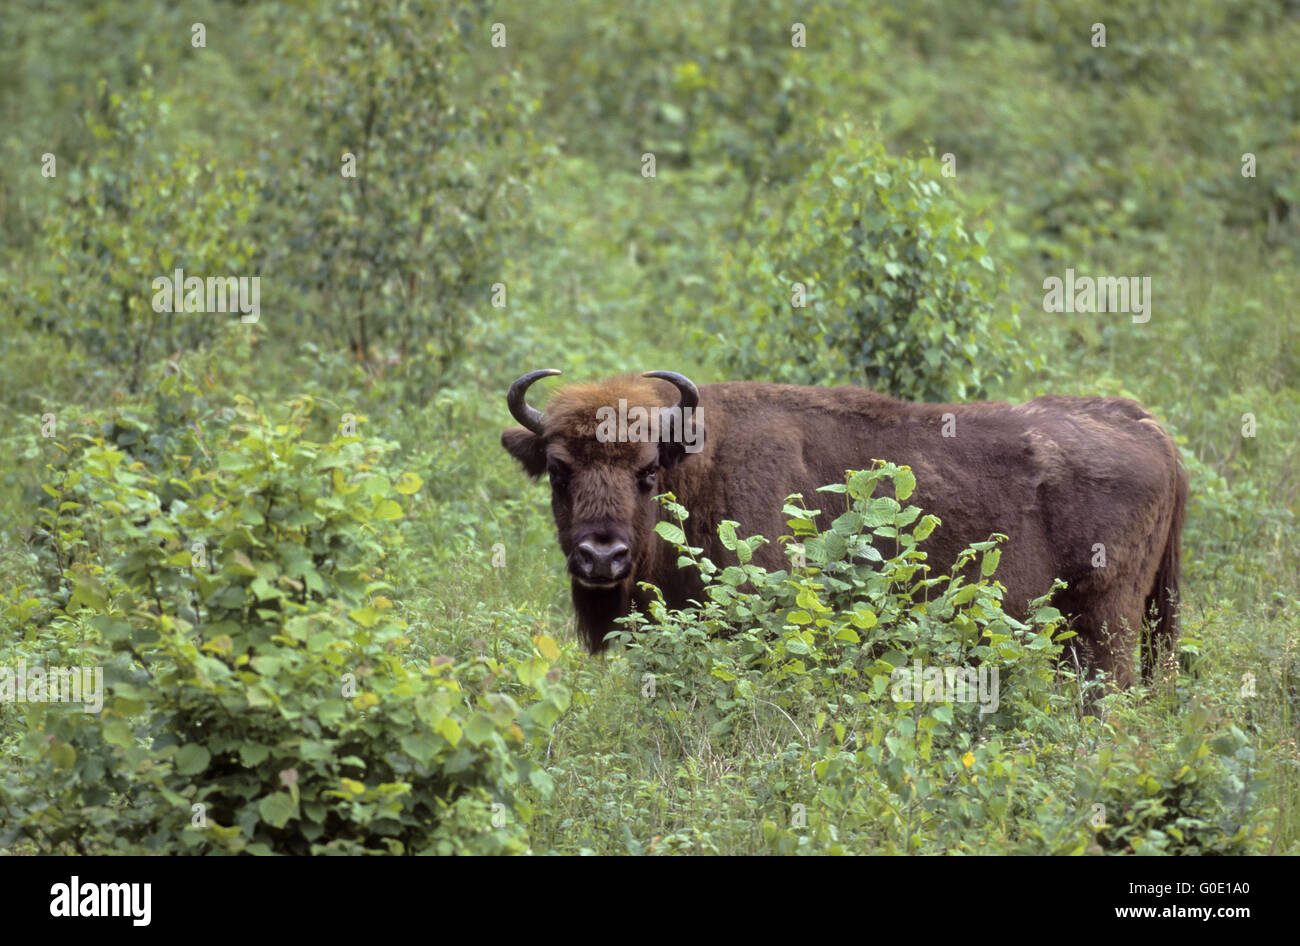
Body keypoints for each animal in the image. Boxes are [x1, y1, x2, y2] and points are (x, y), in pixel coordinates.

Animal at [499, 369, 1190, 686]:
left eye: (645, 472)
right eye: (558, 471)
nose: (601, 556)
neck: (698, 461)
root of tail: (1150, 428)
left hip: (1106, 627)